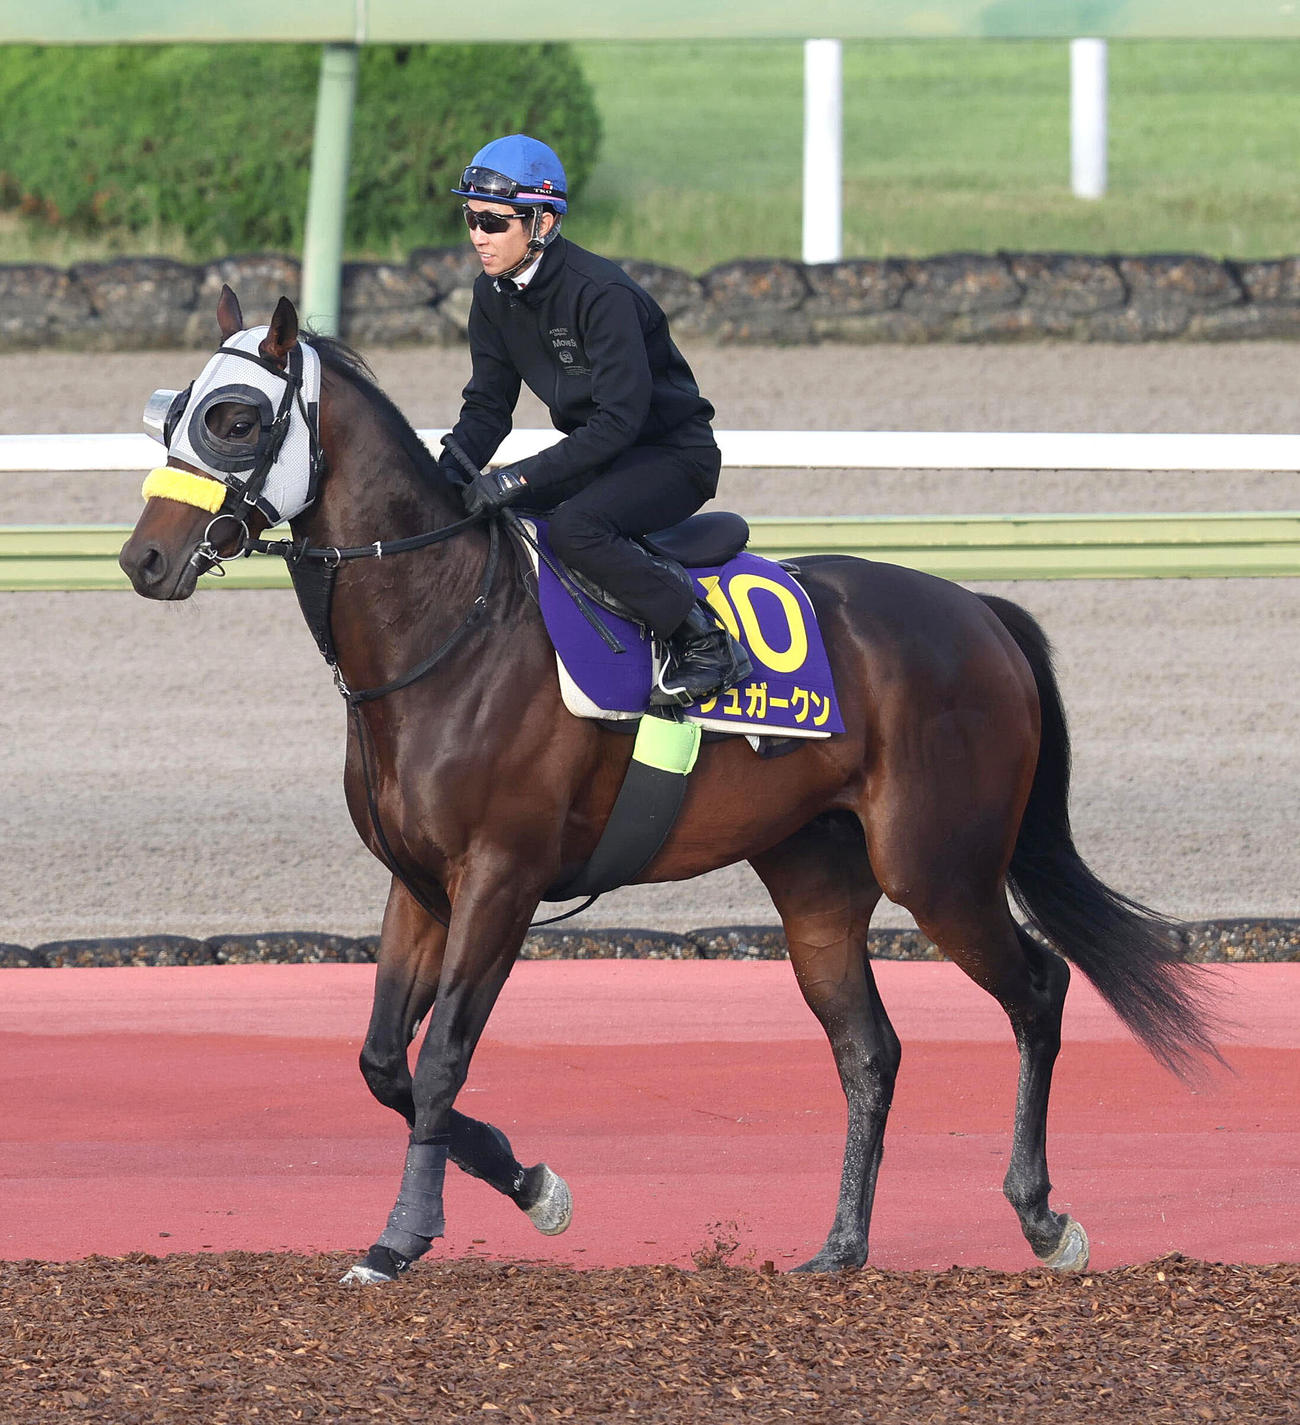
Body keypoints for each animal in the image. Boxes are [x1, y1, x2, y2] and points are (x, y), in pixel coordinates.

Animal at [119, 289, 1217, 1284]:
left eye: (235, 418)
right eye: (170, 414)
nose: (144, 558)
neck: (447, 631)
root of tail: (983, 611)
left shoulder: (502, 881)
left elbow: (439, 1062)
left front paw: (405, 1237)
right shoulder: (419, 885)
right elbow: (385, 1062)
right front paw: (531, 1184)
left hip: (940, 867)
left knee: (1039, 989)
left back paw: (1041, 1218)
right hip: (817, 881)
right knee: (870, 1052)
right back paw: (841, 1247)